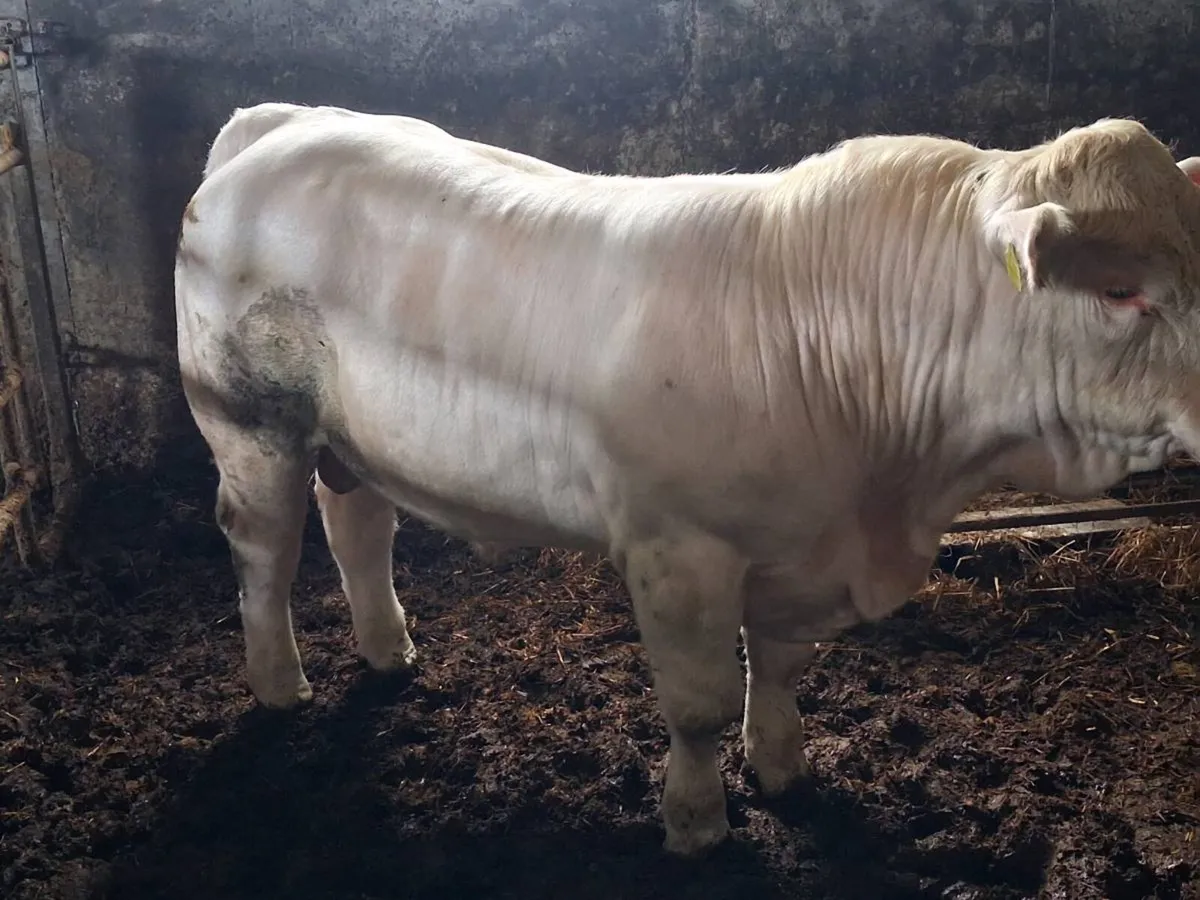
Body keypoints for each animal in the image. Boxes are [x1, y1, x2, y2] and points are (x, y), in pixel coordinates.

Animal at [175, 101, 1200, 857]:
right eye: (1118, 291)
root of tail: (278, 121)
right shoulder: (679, 550)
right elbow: (699, 705)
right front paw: (698, 823)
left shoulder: (797, 550)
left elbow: (779, 668)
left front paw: (783, 770)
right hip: (249, 424)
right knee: (264, 551)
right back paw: (279, 685)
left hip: (349, 440)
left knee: (356, 528)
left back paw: (390, 651)